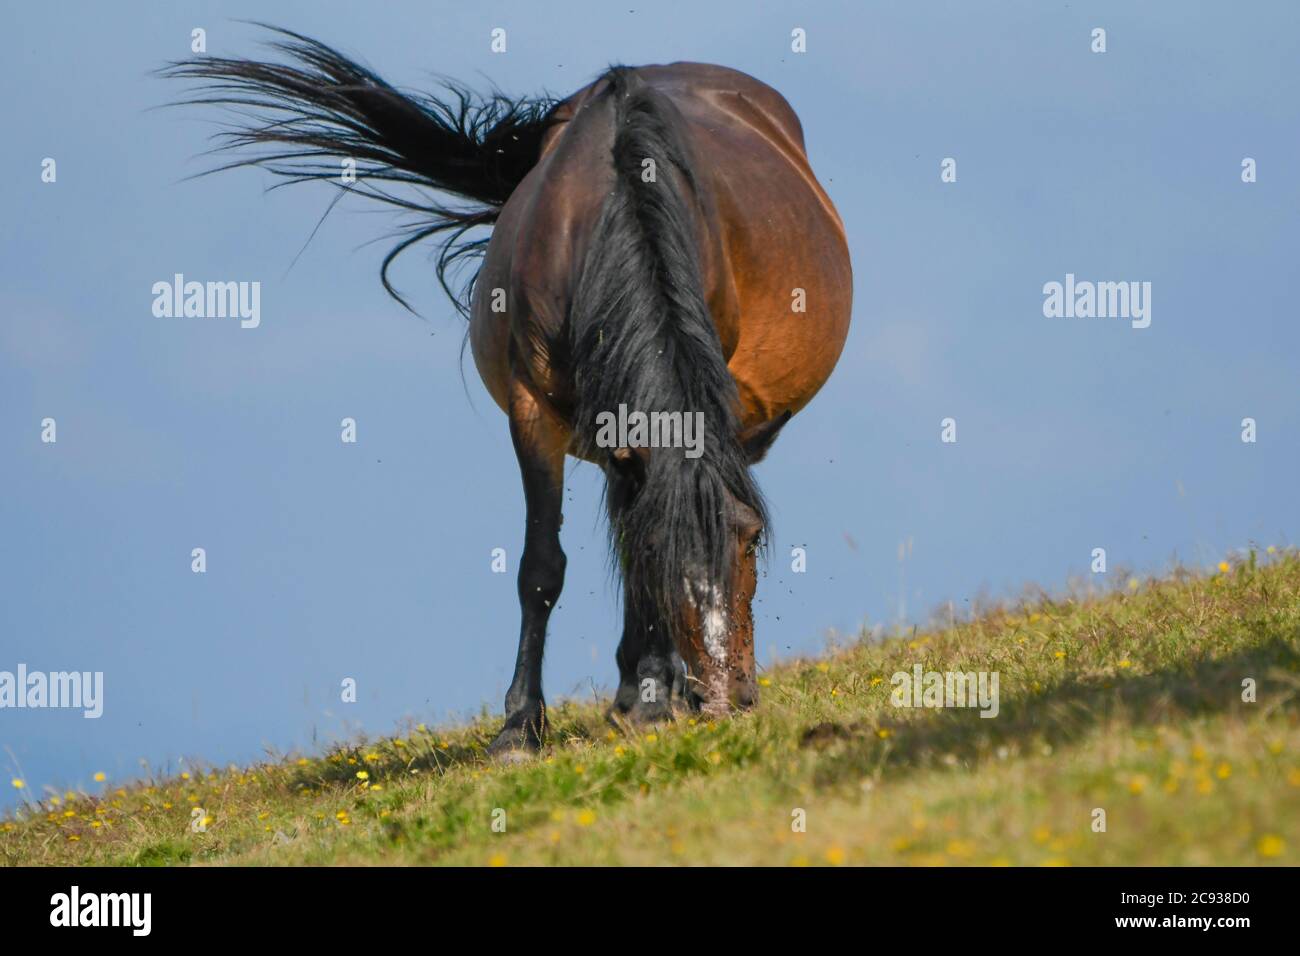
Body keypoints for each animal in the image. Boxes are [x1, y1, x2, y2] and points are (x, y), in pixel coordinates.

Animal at [165, 27, 852, 754]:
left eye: (751, 539)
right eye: (665, 551)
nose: (726, 700)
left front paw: (648, 696)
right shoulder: (533, 413)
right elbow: (543, 566)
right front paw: (525, 725)